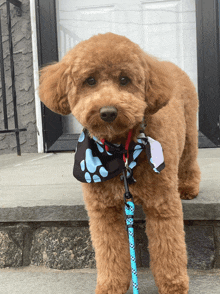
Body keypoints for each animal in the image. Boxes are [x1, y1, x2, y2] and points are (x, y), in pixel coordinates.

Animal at [39, 32, 201, 294]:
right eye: (90, 81)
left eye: (124, 80)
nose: (108, 111)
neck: (120, 151)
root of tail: (169, 65)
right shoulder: (103, 211)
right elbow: (110, 252)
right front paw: (111, 286)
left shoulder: (162, 204)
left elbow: (169, 248)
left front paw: (173, 285)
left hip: (188, 135)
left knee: (189, 161)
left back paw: (188, 187)